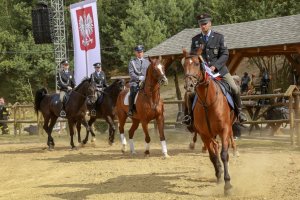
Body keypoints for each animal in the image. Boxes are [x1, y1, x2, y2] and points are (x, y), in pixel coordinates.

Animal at [180, 49, 237, 195]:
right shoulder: (204, 134)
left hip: (227, 128)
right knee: (215, 146)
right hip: (211, 134)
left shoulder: (224, 130)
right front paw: (219, 175)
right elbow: (213, 156)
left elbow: (224, 155)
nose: (189, 85)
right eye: (184, 65)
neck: (208, 102)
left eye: (196, 63)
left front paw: (228, 185)